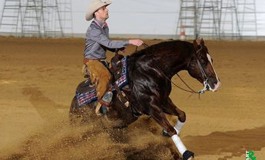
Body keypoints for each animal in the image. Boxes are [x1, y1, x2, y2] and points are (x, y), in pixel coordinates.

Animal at [69, 38, 220, 160]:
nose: (216, 84)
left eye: (212, 60)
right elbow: (171, 129)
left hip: (115, 129)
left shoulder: (164, 101)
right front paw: (186, 154)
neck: (150, 70)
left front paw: (166, 133)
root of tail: (73, 107)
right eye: (203, 61)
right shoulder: (151, 107)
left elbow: (182, 115)